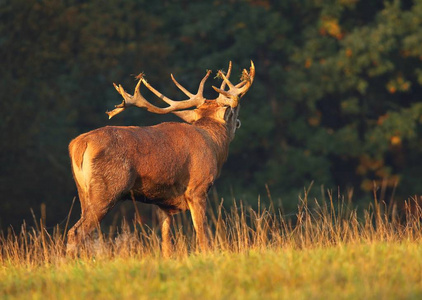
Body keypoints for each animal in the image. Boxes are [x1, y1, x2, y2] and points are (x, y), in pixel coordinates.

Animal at [67, 61, 256, 255]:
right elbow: (202, 234)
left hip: (83, 191)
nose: (238, 122)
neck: (214, 144)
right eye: (234, 111)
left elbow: (166, 243)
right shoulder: (197, 188)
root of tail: (79, 144)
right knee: (77, 231)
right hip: (106, 189)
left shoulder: (164, 203)